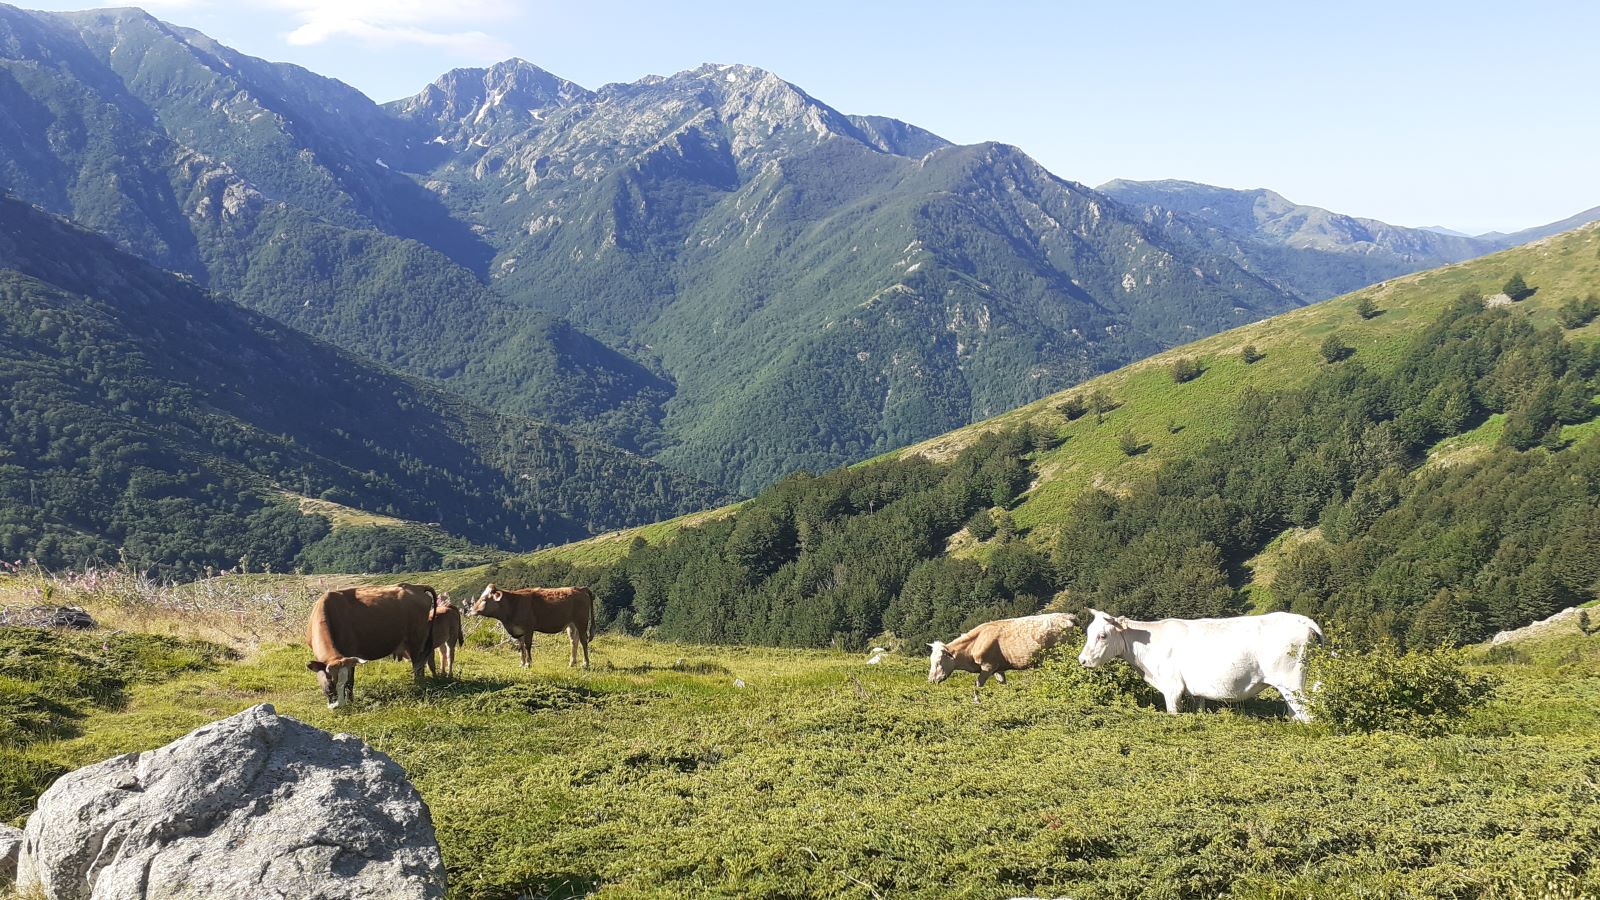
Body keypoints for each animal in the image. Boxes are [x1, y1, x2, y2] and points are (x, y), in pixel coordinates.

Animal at [305, 582, 439, 709]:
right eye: (330, 685)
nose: (339, 706)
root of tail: (417, 587)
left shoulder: (351, 654)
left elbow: (351, 681)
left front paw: (351, 701)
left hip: (416, 640)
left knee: (417, 665)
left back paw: (418, 685)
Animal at [928, 612, 1078, 703]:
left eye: (938, 662)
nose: (930, 680)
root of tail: (1069, 616)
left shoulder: (988, 667)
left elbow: (977, 685)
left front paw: (976, 701)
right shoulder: (998, 669)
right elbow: (1003, 683)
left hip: (1058, 656)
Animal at [1078, 609, 1323, 721]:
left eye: (1102, 636)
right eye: (1088, 632)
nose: (1082, 660)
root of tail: (1300, 619)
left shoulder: (1172, 687)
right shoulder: (1196, 692)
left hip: (1291, 681)